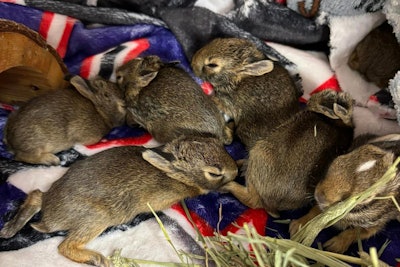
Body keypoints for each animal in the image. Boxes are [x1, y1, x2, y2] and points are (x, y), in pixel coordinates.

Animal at [0, 136, 238, 267]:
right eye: (214, 173)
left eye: (218, 144)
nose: (236, 170)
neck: (176, 175)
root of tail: (48, 217)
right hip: (98, 218)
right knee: (64, 246)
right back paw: (97, 259)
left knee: (36, 194)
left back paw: (9, 229)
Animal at [220, 89, 354, 219]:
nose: (310, 99)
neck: (338, 124)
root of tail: (272, 205)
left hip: (257, 152)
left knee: (252, 200)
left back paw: (228, 183)